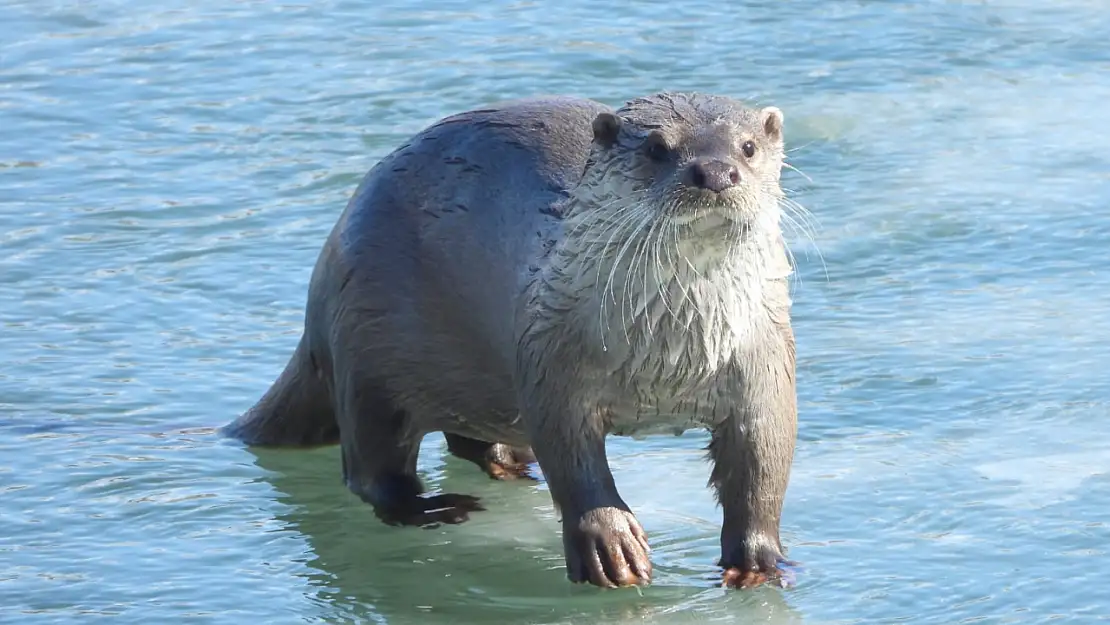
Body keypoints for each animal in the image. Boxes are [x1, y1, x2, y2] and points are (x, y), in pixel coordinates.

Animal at [225, 92, 799, 590]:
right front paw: (610, 545)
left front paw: (759, 562)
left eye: (748, 147)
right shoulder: (551, 359)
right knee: (371, 473)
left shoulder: (765, 366)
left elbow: (763, 468)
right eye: (657, 147)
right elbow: (574, 462)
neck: (670, 354)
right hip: (363, 351)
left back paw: (509, 466)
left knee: (464, 439)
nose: (715, 172)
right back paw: (436, 507)